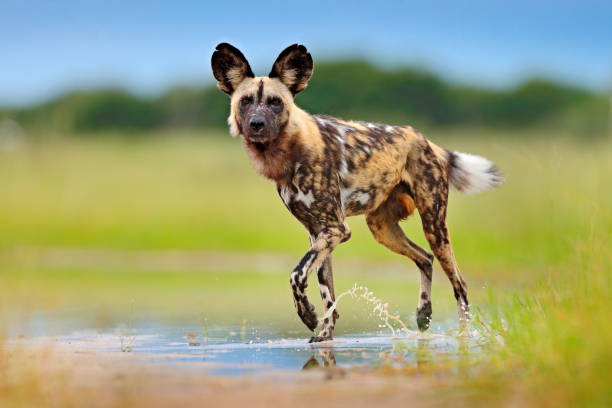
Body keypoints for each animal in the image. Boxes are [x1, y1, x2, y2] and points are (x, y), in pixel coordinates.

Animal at [210, 43, 502, 342]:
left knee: (459, 283)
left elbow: (297, 274)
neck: (290, 151)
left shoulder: (335, 229)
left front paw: (308, 316)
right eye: (245, 101)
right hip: (382, 229)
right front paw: (324, 333)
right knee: (425, 258)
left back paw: (463, 337)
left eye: (274, 102)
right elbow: (327, 294)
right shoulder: (319, 233)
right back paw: (423, 313)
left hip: (434, 226)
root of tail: (425, 140)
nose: (256, 124)